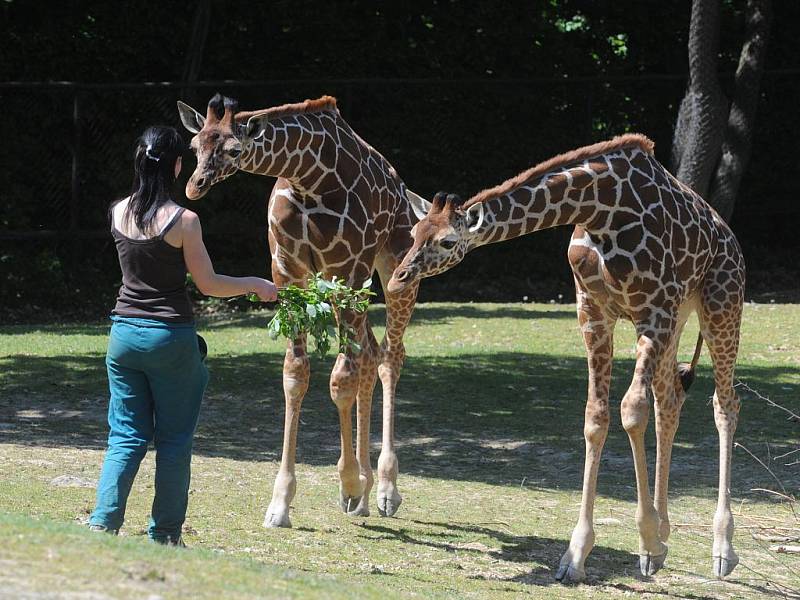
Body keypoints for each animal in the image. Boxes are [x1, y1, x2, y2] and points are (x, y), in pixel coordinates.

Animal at [175, 92, 432, 524]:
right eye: (195, 146)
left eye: (234, 149)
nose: (195, 186)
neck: (310, 179)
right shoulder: (288, 273)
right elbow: (296, 375)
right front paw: (281, 502)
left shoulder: (347, 271)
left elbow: (340, 380)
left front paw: (348, 483)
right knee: (369, 353)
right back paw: (365, 494)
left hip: (395, 268)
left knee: (389, 355)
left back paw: (384, 489)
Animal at [386, 135, 744, 580]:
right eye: (415, 231)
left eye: (448, 242)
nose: (397, 279)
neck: (600, 209)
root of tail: (729, 237)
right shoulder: (592, 310)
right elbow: (596, 417)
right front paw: (579, 554)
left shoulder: (652, 310)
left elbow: (632, 410)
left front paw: (641, 540)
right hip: (677, 321)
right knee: (671, 401)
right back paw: (663, 539)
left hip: (720, 304)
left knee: (724, 403)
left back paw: (721, 549)